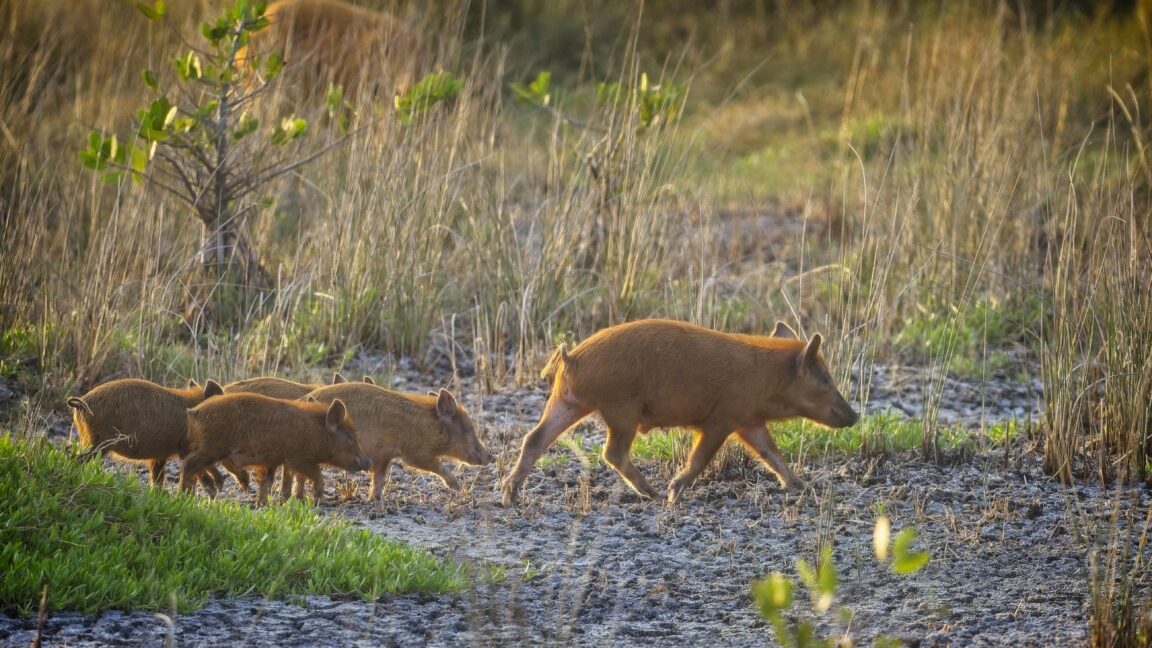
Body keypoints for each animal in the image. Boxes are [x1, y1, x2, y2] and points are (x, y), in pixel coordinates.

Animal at [65, 375, 236, 486]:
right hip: (100, 442)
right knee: (78, 459)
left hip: (90, 440)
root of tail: (82, 403)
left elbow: (157, 479)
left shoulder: (159, 456)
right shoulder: (184, 449)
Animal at [182, 392, 366, 502]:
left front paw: (265, 504)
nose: (368, 462)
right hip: (212, 446)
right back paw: (184, 496)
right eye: (351, 438)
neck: (318, 433)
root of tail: (195, 411)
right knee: (188, 464)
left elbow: (270, 481)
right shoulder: (298, 458)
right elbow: (316, 473)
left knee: (199, 466)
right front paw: (317, 497)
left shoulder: (275, 460)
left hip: (210, 448)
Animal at [304, 382, 493, 500]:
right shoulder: (414, 452)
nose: (492, 457)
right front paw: (459, 488)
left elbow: (379, 478)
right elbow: (433, 465)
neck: (431, 427)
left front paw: (374, 499)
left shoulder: (384, 456)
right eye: (467, 428)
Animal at [499, 318, 861, 505]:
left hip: (568, 401)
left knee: (535, 438)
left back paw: (510, 497)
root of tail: (572, 356)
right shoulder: (723, 417)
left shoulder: (749, 421)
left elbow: (771, 453)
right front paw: (675, 492)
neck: (767, 378)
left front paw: (801, 487)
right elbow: (701, 457)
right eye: (825, 378)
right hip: (622, 409)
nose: (855, 416)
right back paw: (654, 493)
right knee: (611, 452)